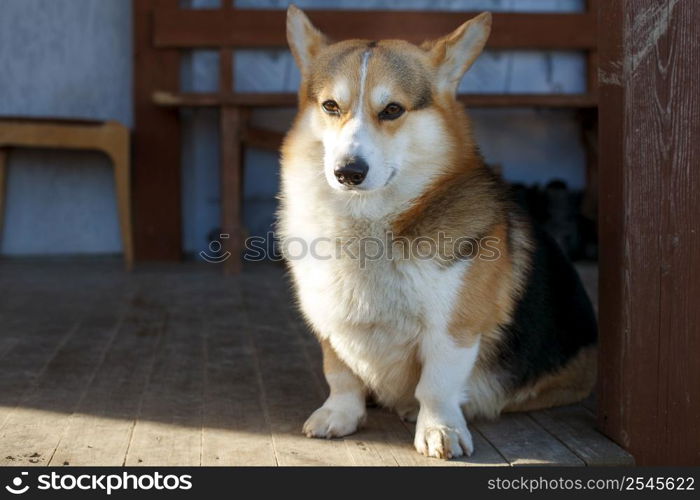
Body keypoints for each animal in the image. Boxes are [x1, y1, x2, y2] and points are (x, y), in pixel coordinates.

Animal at [278, 6, 596, 460]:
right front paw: (339, 416)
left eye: (393, 110)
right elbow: (340, 374)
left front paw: (438, 429)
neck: (365, 225)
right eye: (330, 106)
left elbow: (437, 385)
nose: (347, 172)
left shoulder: (454, 329)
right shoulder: (331, 322)